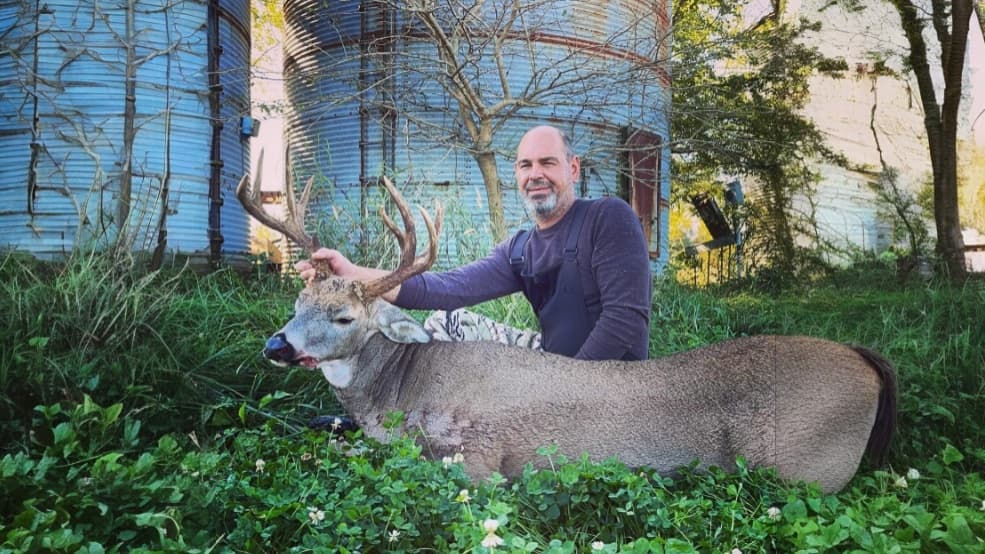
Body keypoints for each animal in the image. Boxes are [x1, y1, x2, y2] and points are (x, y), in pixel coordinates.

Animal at [237, 168, 898, 494]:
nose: (276, 344)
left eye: (344, 317)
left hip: (801, 466)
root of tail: (865, 359)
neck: (401, 395)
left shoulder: (477, 458)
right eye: (297, 300)